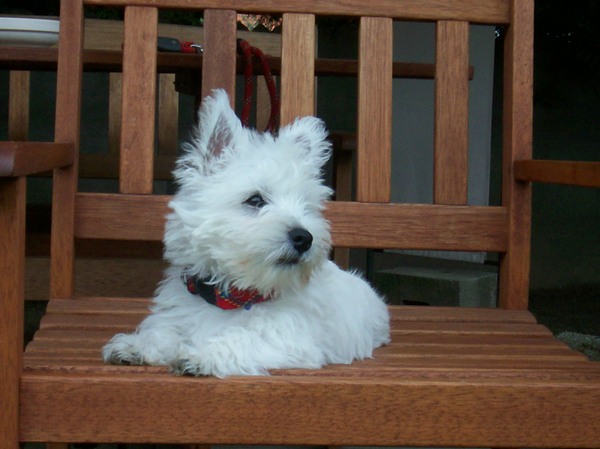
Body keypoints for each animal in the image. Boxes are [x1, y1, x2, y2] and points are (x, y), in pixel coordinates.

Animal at [102, 89, 390, 376]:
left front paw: (199, 354)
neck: (232, 296)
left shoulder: (287, 337)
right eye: (255, 200)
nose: (304, 238)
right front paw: (135, 346)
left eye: (307, 208)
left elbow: (238, 338)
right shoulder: (178, 313)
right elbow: (164, 331)